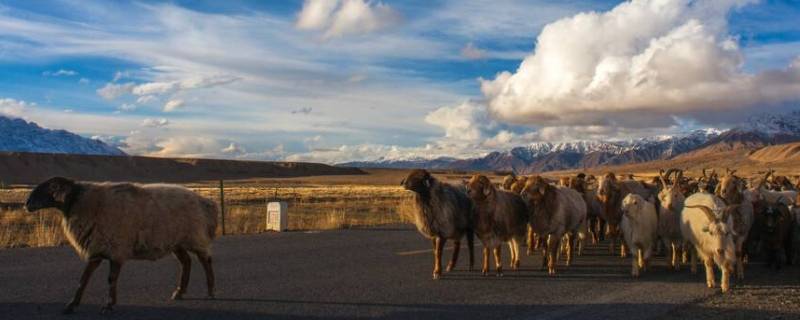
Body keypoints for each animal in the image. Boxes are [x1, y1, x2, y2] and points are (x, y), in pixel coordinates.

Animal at [25, 178, 219, 316]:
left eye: (49, 188)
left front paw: (109, 305)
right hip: (176, 241)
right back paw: (179, 292)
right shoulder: (97, 249)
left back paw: (210, 292)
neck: (82, 203)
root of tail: (205, 201)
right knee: (186, 262)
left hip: (194, 237)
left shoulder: (115, 249)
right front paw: (71, 305)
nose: (26, 204)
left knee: (206, 260)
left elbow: (111, 278)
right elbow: (83, 278)